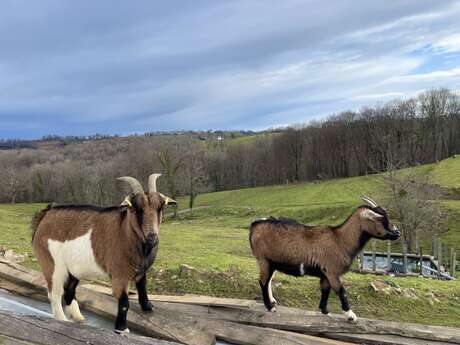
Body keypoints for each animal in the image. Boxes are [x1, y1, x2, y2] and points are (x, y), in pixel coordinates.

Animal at [31, 173, 176, 332]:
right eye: (137, 208)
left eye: (160, 206)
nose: (152, 237)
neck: (127, 232)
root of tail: (44, 216)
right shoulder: (119, 274)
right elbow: (124, 302)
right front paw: (121, 329)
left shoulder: (140, 270)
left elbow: (142, 286)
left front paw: (148, 307)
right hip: (53, 265)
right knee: (55, 294)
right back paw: (62, 320)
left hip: (74, 269)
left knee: (69, 291)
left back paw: (79, 318)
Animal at [248, 196, 398, 320]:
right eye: (380, 218)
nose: (397, 232)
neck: (340, 240)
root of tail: (255, 225)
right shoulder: (332, 271)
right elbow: (341, 291)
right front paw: (350, 315)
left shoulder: (325, 273)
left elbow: (325, 290)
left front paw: (324, 310)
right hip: (264, 260)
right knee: (263, 281)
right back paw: (270, 307)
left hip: (272, 263)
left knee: (268, 281)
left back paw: (273, 301)